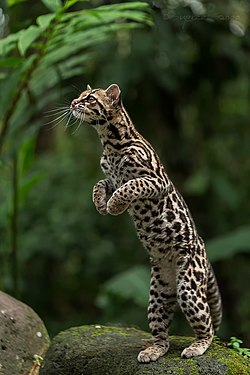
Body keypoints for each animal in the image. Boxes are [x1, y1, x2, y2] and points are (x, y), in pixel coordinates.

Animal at [69, 83, 222, 362]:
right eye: (81, 96)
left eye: (90, 98)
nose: (73, 103)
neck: (109, 142)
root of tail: (204, 250)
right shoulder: (111, 178)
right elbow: (99, 184)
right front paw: (101, 204)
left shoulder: (154, 181)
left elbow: (130, 186)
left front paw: (114, 206)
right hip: (158, 294)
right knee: (162, 332)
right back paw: (153, 349)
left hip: (188, 285)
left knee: (208, 326)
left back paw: (197, 346)